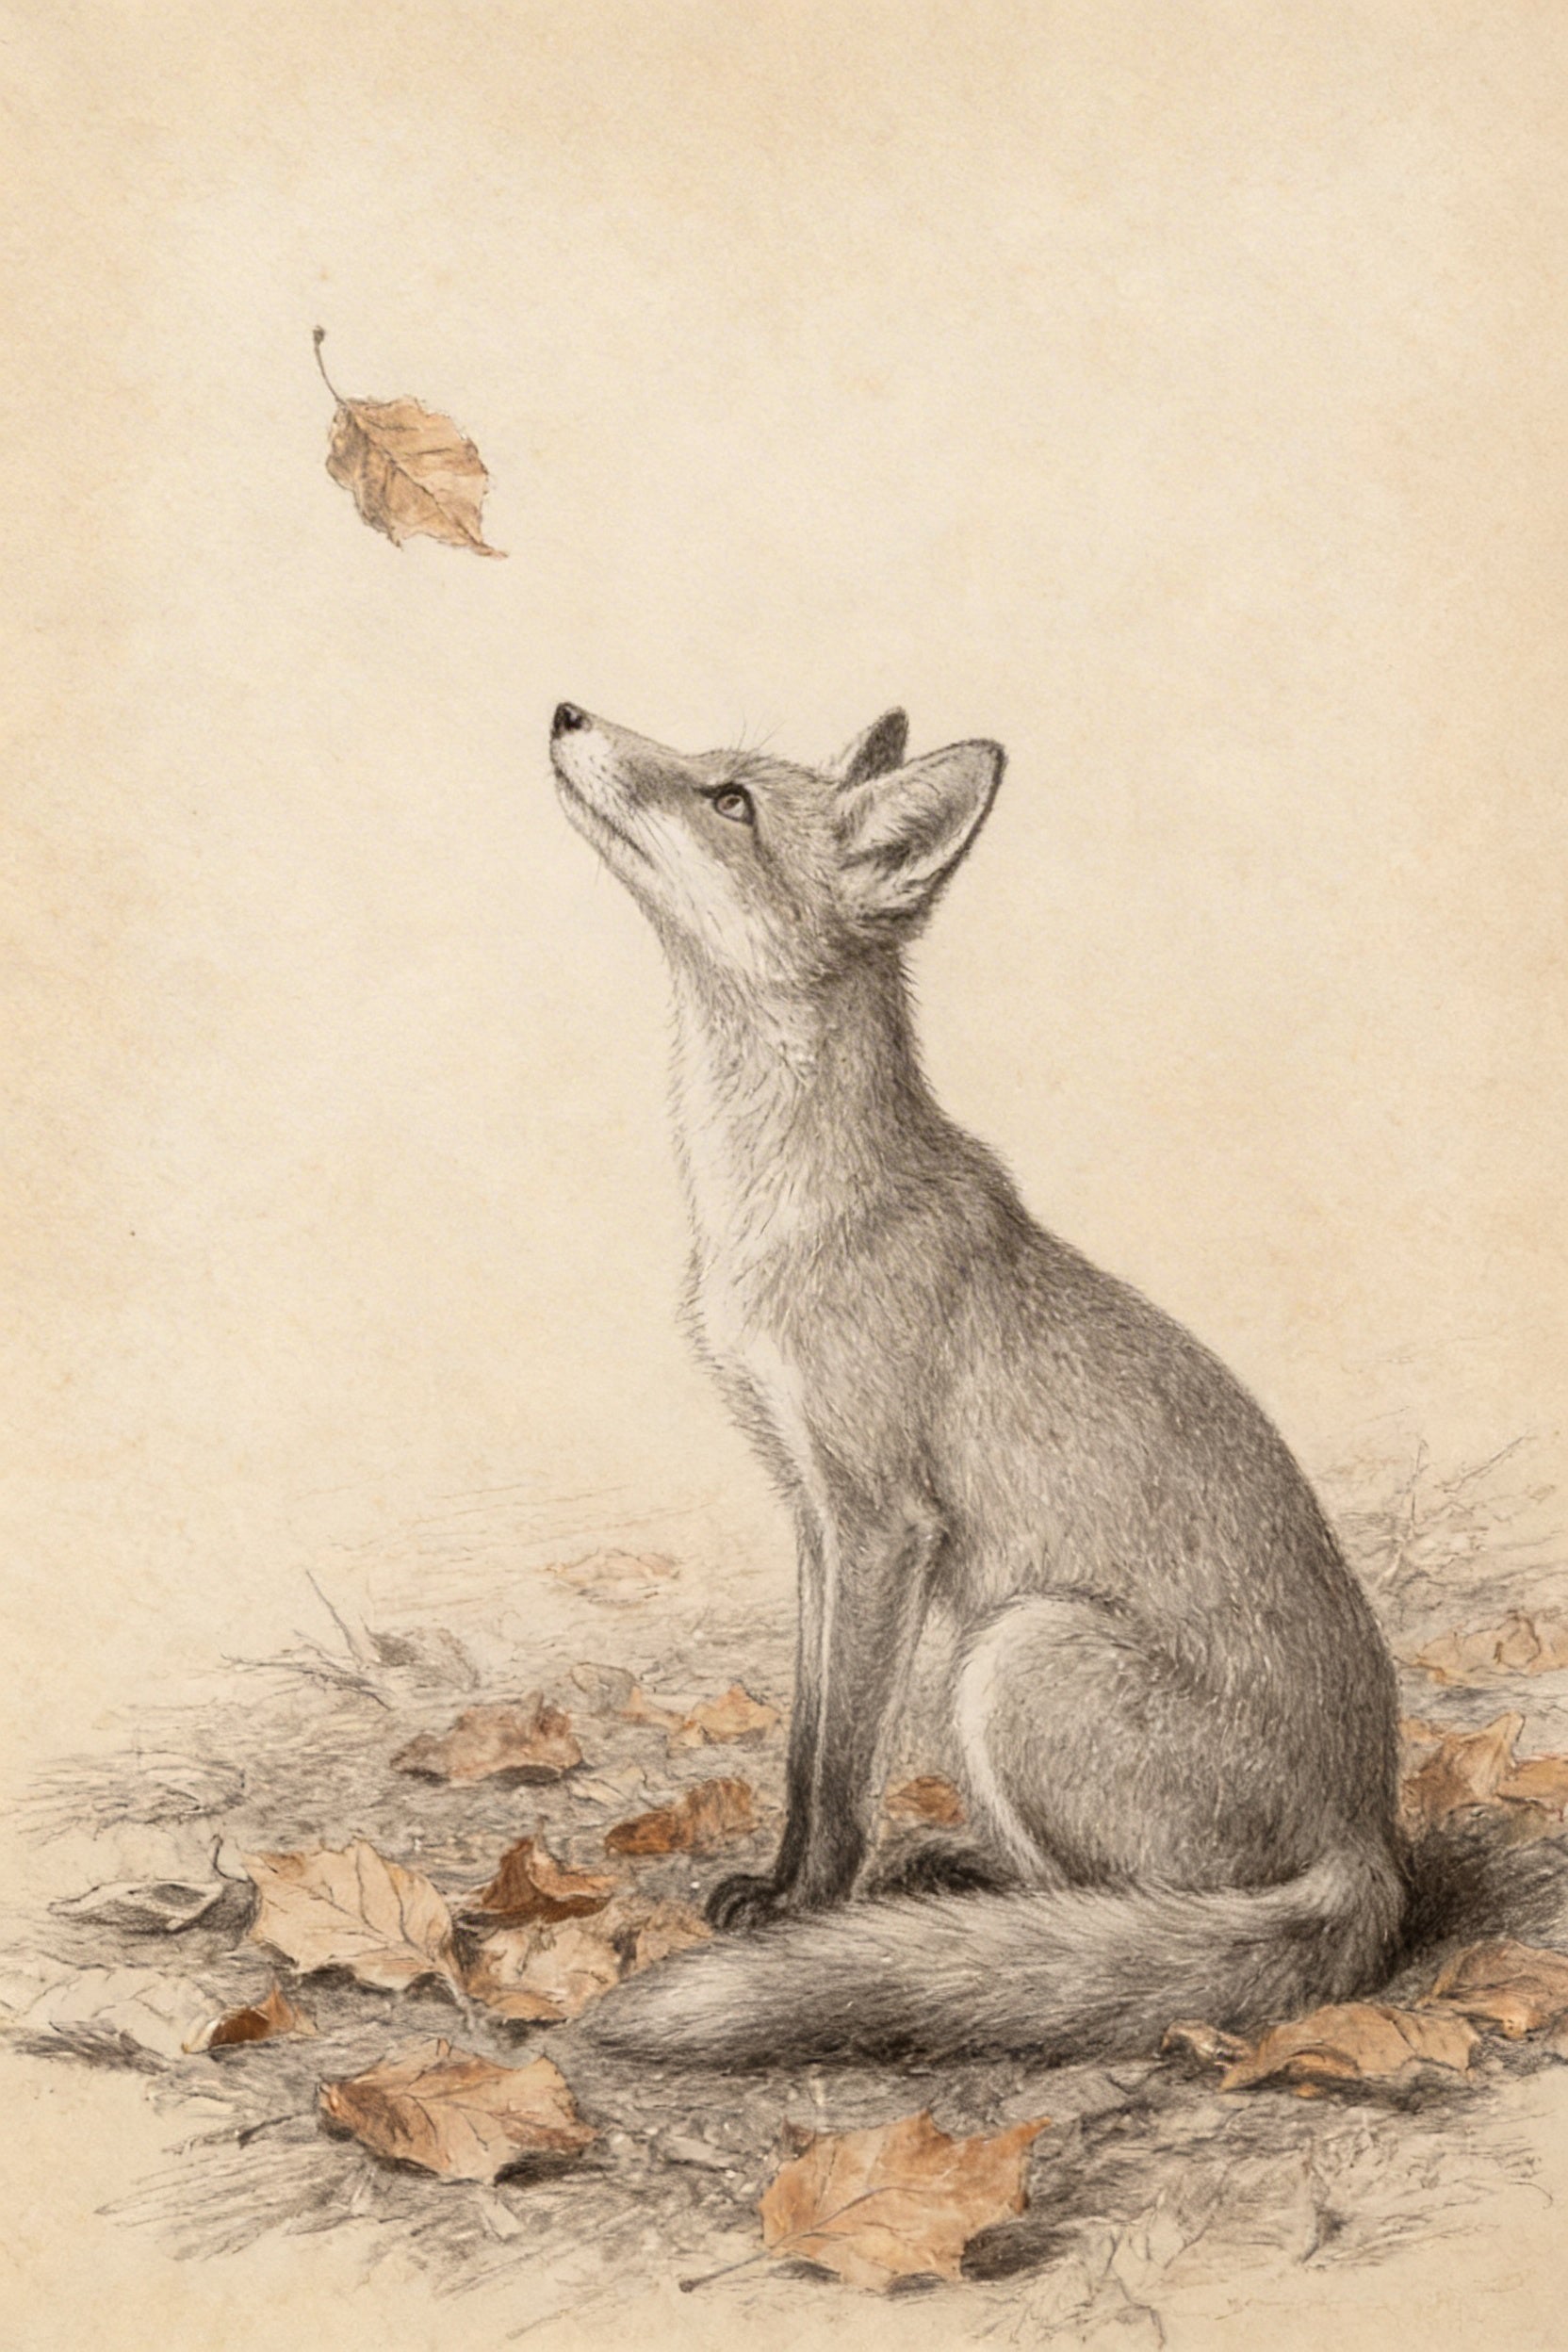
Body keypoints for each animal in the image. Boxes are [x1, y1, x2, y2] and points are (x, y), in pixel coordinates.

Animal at [545, 696, 1405, 2067]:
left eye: (729, 799)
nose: (567, 709)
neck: (778, 1221)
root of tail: (1370, 1835)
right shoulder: (814, 1516)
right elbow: (803, 1745)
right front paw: (783, 1891)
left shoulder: (883, 1523)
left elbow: (840, 1773)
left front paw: (804, 1913)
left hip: (1014, 1654)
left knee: (1135, 1921)